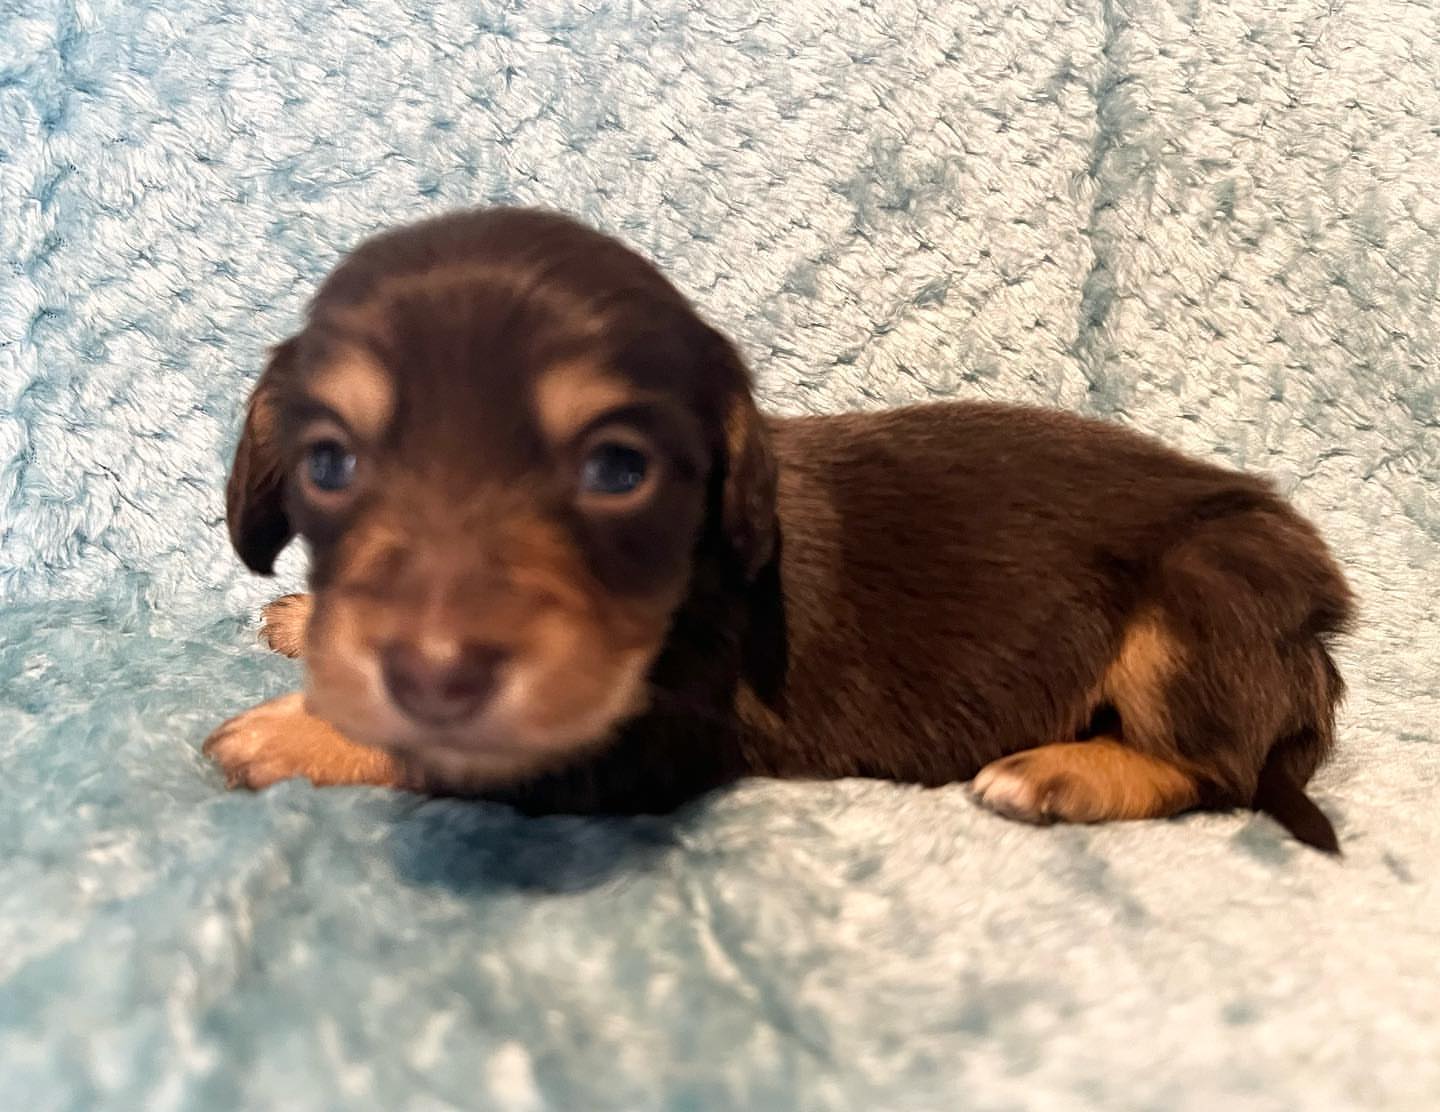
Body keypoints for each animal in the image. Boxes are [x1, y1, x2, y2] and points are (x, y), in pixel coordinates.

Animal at [200, 205, 1347, 852]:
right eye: (329, 464)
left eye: (617, 469)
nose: (433, 664)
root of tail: (1320, 644)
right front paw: (305, 626)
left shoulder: (644, 735)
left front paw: (290, 730)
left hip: (1205, 590)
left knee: (1217, 770)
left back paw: (1059, 771)